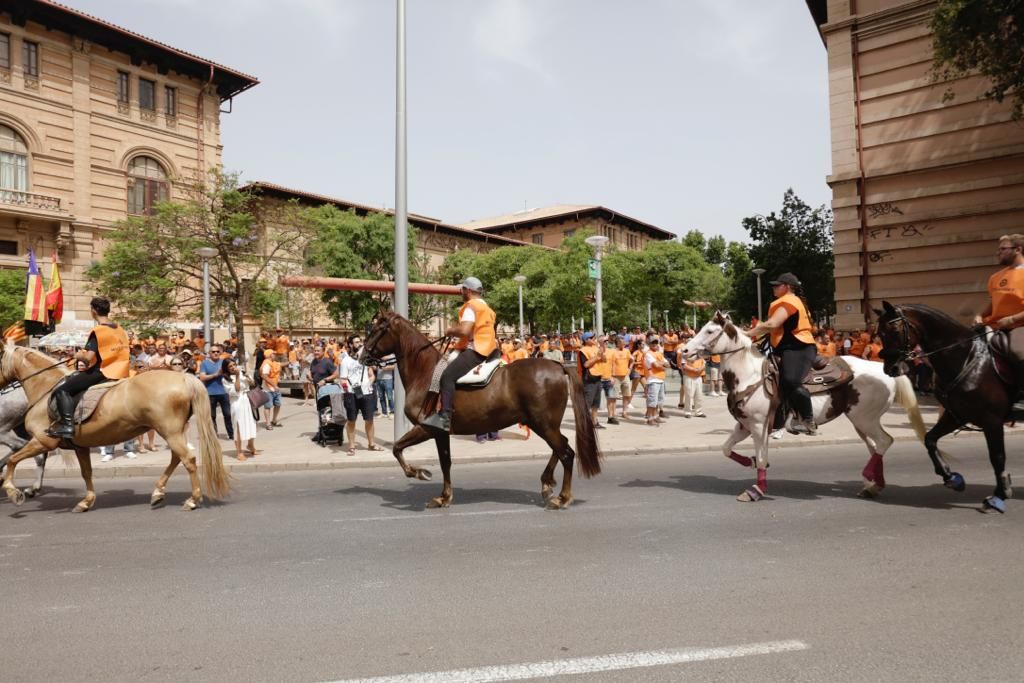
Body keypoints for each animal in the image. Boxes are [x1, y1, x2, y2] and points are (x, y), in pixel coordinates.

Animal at [1, 342, 230, 511]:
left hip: (170, 431)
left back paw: (192, 500)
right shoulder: (79, 446)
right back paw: (158, 492)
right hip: (174, 431)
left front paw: (13, 491)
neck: (46, 388)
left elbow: (13, 459)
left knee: (188, 459)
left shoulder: (43, 441)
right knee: (177, 458)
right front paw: (86, 501)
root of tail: (184, 377)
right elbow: (86, 472)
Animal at [360, 313, 598, 509]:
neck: (425, 374)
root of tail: (558, 366)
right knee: (561, 447)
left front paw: (419, 473)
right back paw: (547, 482)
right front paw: (444, 496)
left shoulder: (426, 428)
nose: (362, 356)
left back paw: (562, 497)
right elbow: (445, 462)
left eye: (376, 330)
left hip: (544, 424)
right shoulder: (440, 432)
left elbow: (397, 448)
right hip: (542, 424)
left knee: (566, 453)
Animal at [679, 313, 929, 501]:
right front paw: (748, 462)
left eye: (709, 331)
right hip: (861, 420)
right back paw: (874, 485)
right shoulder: (745, 425)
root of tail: (885, 371)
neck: (749, 376)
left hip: (864, 419)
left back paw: (870, 478)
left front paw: (756, 490)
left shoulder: (759, 426)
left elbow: (760, 457)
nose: (684, 351)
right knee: (876, 446)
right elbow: (726, 449)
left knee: (884, 441)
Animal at [876, 301, 1011, 516]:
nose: (890, 368)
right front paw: (951, 477)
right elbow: (930, 440)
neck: (966, 358)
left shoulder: (992, 419)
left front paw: (999, 496)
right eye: (879, 333)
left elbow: (997, 457)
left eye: (895, 331)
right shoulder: (956, 414)